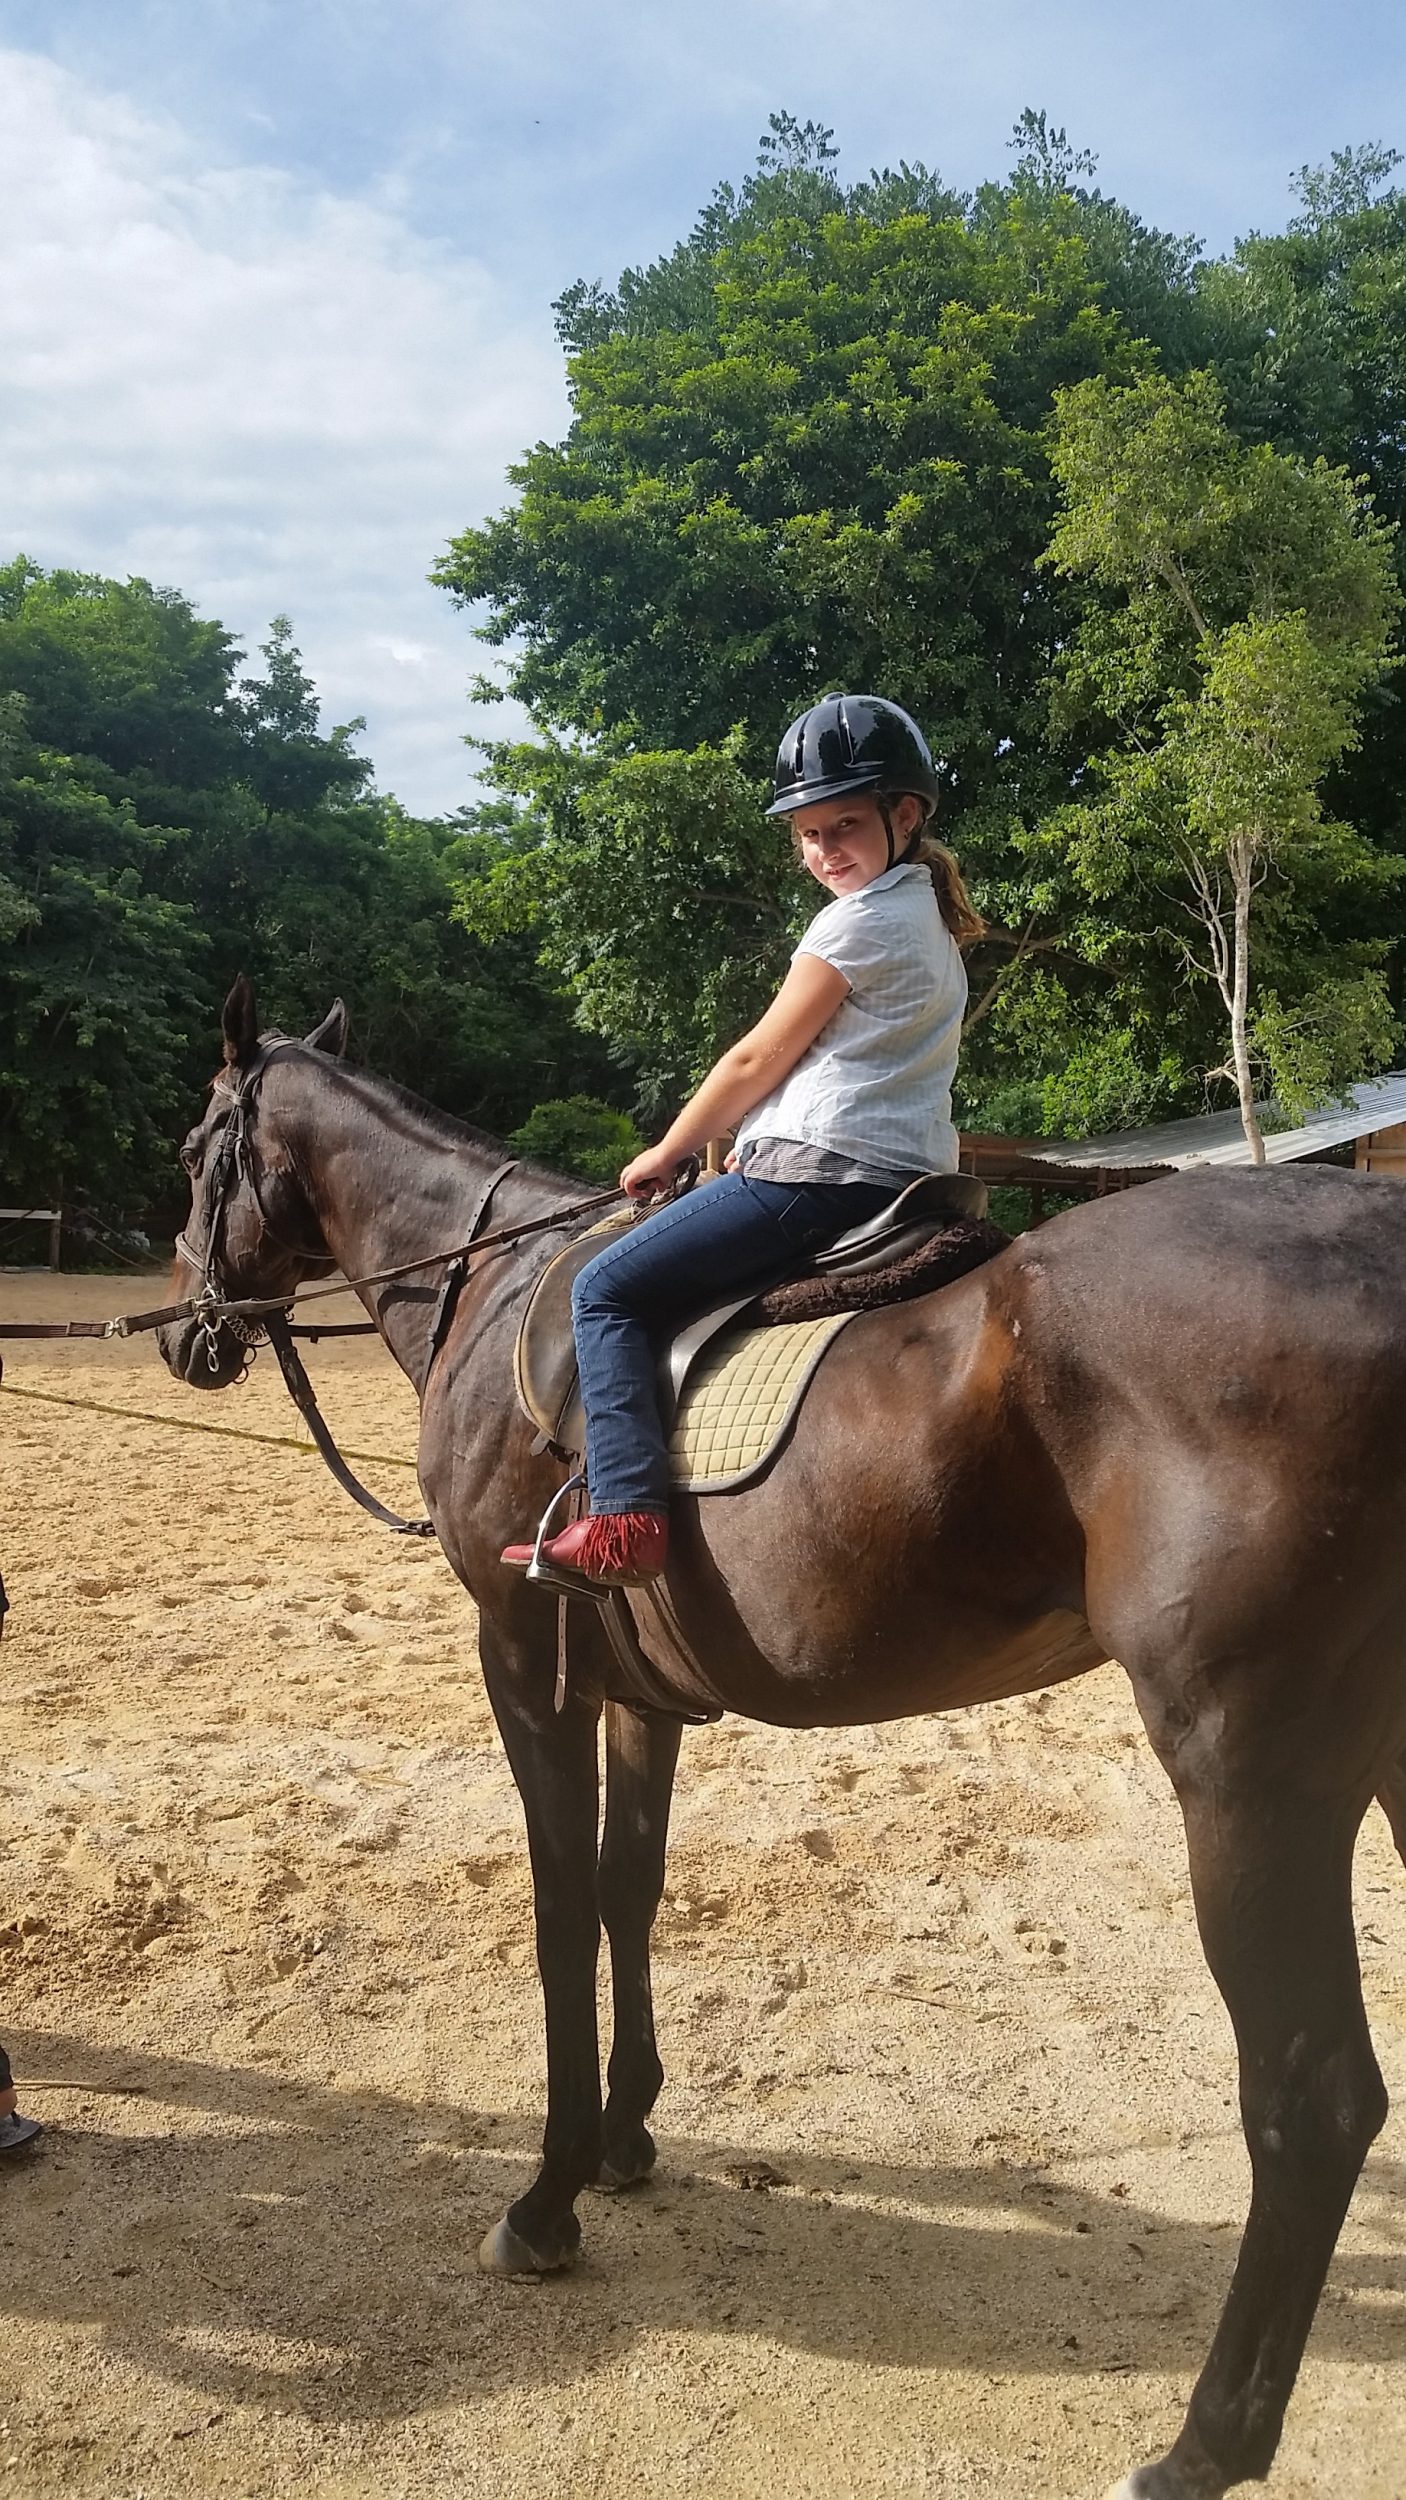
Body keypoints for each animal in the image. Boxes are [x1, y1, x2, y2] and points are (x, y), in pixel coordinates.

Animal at [155, 980, 1400, 2500]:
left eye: (196, 1150)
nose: (187, 1333)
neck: (493, 1287)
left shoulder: (523, 1664)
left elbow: (558, 1914)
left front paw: (547, 2199)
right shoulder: (633, 1693)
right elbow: (628, 1892)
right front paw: (626, 2137)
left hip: (1251, 1782)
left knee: (1310, 2096)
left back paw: (1197, 2448)